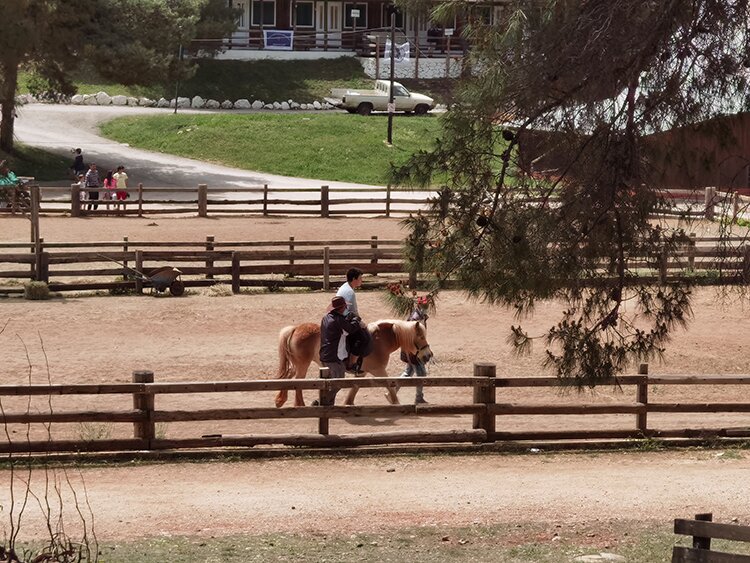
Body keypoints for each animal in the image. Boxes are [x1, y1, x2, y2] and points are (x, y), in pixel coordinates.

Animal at [276, 320, 432, 408]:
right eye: (421, 337)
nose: (428, 355)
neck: (379, 341)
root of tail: (295, 328)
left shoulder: (362, 372)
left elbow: (354, 387)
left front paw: (348, 402)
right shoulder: (378, 370)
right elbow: (390, 384)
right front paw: (395, 401)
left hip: (296, 364)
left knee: (288, 378)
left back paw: (280, 400)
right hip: (303, 364)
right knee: (298, 381)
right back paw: (299, 404)